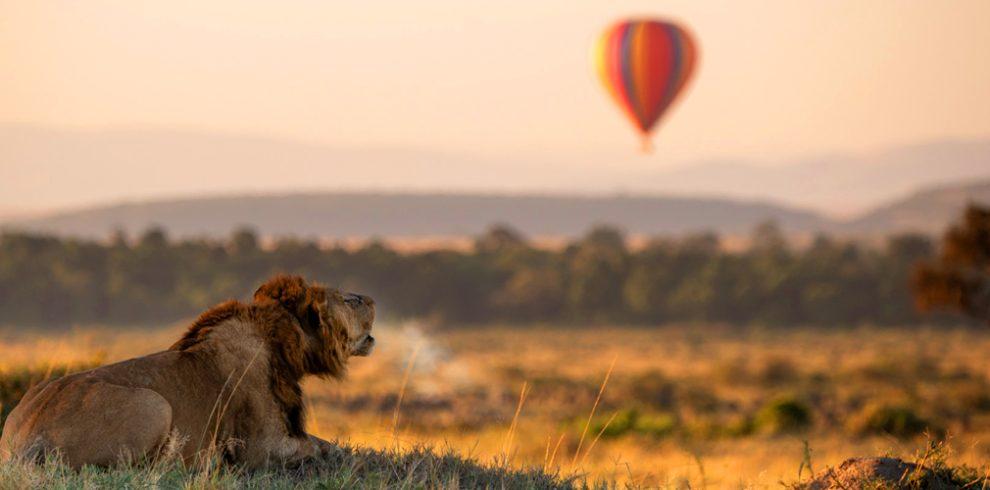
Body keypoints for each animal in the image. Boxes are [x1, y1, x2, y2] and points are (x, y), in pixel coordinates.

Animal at [0, 274, 375, 469]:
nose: (371, 299)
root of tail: (26, 436)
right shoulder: (262, 448)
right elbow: (323, 448)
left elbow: (326, 442)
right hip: (154, 404)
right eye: (349, 300)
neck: (282, 345)